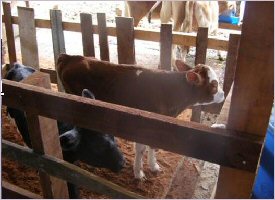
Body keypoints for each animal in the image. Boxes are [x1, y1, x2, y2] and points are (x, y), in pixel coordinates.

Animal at [57, 53, 225, 180]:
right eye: (214, 84)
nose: (223, 94)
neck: (170, 92)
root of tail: (69, 57)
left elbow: (153, 146)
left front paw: (153, 166)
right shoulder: (141, 124)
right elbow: (141, 149)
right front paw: (138, 173)